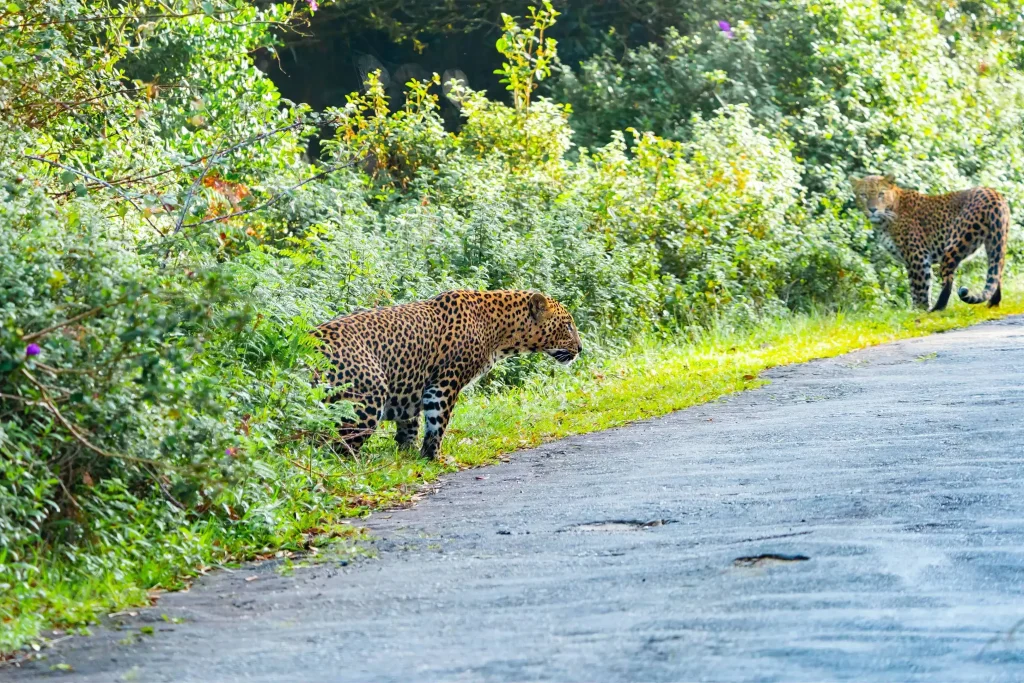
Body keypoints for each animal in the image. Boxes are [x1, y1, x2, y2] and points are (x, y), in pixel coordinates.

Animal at [314, 289, 582, 460]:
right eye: (568, 326)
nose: (580, 348)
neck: (499, 330)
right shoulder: (444, 383)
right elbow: (437, 422)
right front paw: (433, 457)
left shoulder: (408, 391)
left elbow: (409, 425)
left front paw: (407, 455)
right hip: (366, 401)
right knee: (333, 449)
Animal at [851, 174, 1010, 311]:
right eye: (863, 195)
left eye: (881, 194)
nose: (872, 209)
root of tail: (993, 193)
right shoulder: (909, 262)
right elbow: (913, 287)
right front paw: (914, 310)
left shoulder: (918, 256)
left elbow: (921, 287)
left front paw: (920, 310)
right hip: (995, 241)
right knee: (996, 273)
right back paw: (992, 304)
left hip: (954, 245)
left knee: (948, 280)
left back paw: (936, 309)